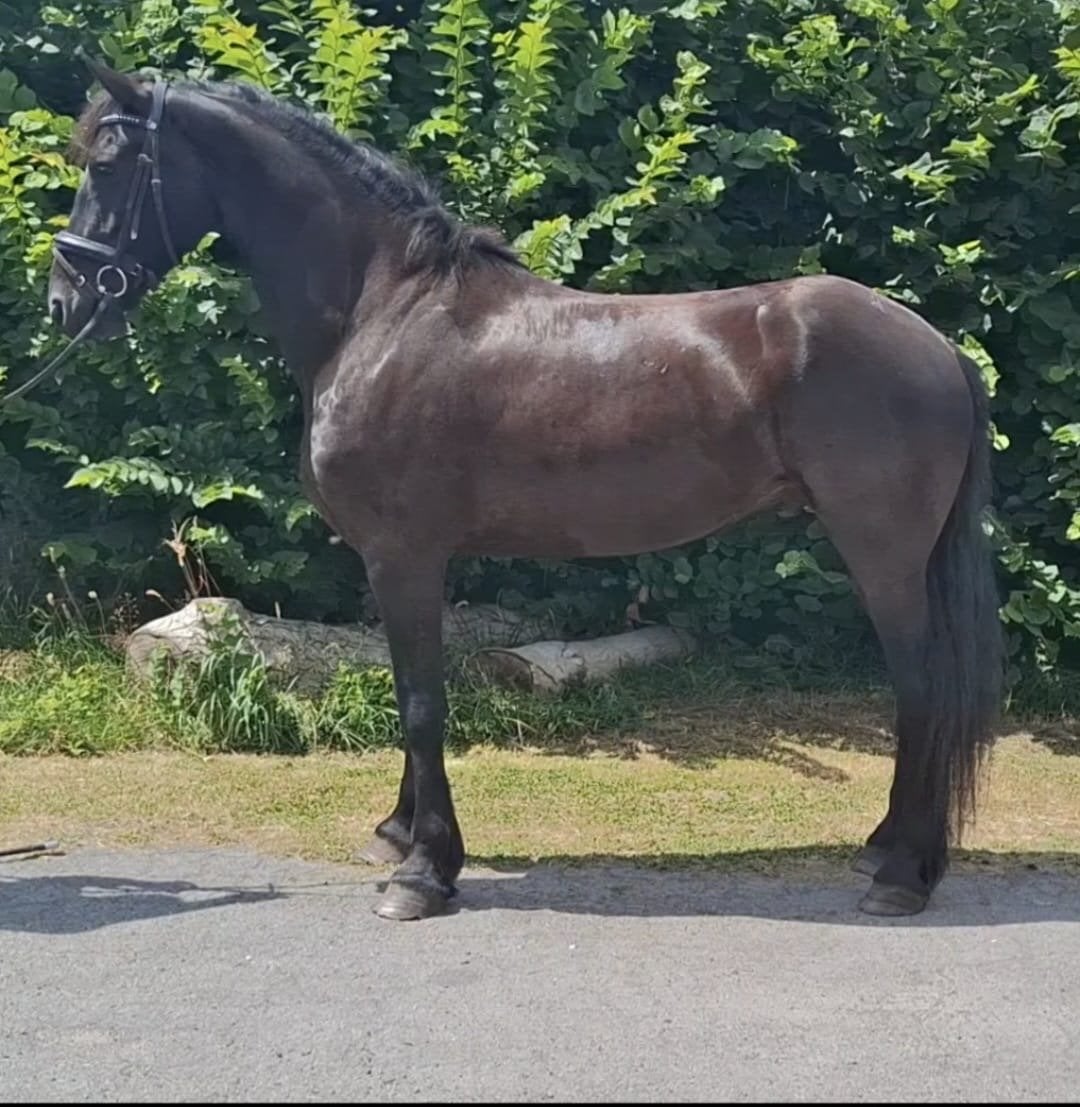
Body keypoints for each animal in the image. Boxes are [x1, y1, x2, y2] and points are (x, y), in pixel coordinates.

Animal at [47, 62, 1003, 922]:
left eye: (109, 163)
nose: (64, 301)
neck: (382, 310)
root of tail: (939, 347)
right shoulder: (399, 562)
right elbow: (410, 690)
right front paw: (400, 834)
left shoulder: (405, 555)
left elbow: (421, 702)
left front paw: (424, 874)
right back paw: (886, 848)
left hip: (881, 553)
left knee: (921, 688)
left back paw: (901, 875)